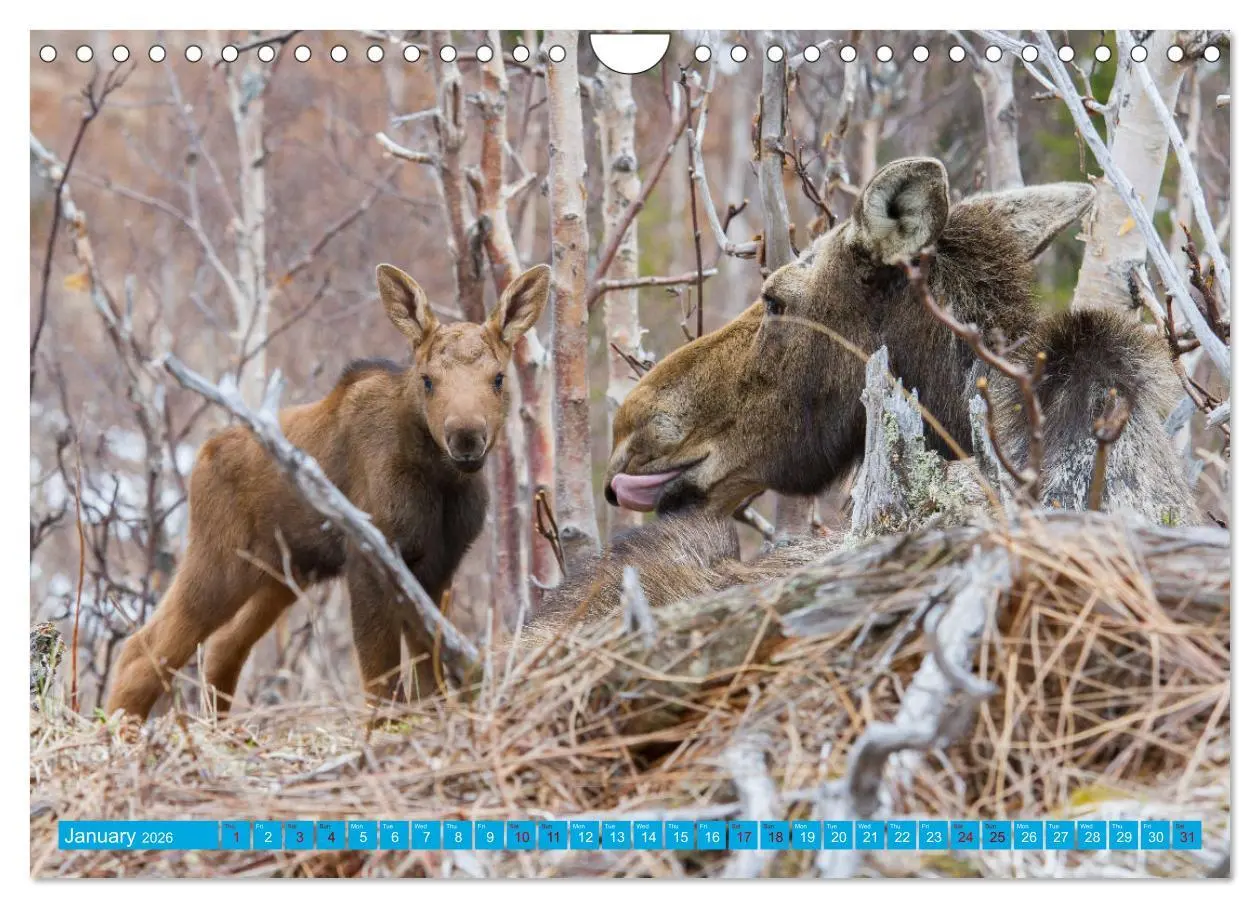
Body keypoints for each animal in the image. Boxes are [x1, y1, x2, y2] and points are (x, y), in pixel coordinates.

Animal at [106, 263, 552, 720]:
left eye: (498, 378)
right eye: (428, 380)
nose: (465, 437)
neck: (440, 486)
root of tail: (202, 454)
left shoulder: (438, 566)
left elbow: (429, 676)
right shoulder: (370, 560)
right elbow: (381, 682)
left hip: (280, 575)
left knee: (222, 647)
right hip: (220, 563)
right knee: (142, 648)